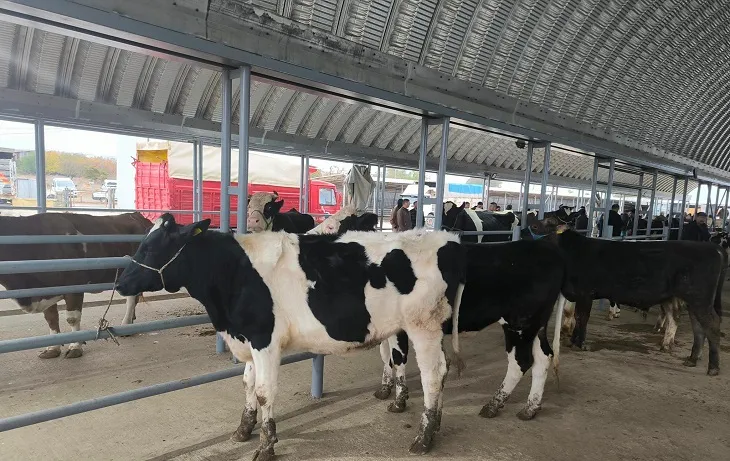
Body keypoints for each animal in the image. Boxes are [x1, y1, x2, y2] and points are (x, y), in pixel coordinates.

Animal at [0, 213, 151, 360]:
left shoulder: (75, 286)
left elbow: (72, 318)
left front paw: (75, 347)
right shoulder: (45, 290)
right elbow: (51, 318)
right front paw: (52, 348)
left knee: (131, 300)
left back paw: (126, 324)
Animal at [116, 215, 464, 456]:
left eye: (151, 247)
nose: (120, 283)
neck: (235, 274)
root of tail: (447, 239)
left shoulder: (264, 340)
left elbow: (264, 391)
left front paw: (266, 445)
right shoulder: (247, 338)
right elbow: (247, 384)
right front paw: (243, 429)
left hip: (424, 325)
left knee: (433, 374)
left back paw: (424, 437)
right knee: (420, 363)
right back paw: (421, 415)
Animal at [372, 241, 564, 420]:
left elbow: (397, 358)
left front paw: (398, 402)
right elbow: (385, 353)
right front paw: (385, 388)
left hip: (519, 324)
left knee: (521, 361)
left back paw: (493, 405)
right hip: (536, 324)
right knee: (544, 357)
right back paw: (530, 408)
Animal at [524, 217, 724, 376]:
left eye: (549, 222)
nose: (531, 224)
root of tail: (713, 248)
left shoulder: (585, 293)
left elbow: (582, 318)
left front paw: (580, 343)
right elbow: (576, 316)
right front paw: (573, 341)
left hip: (700, 299)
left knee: (712, 324)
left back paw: (713, 367)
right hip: (688, 300)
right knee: (694, 325)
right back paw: (689, 357)